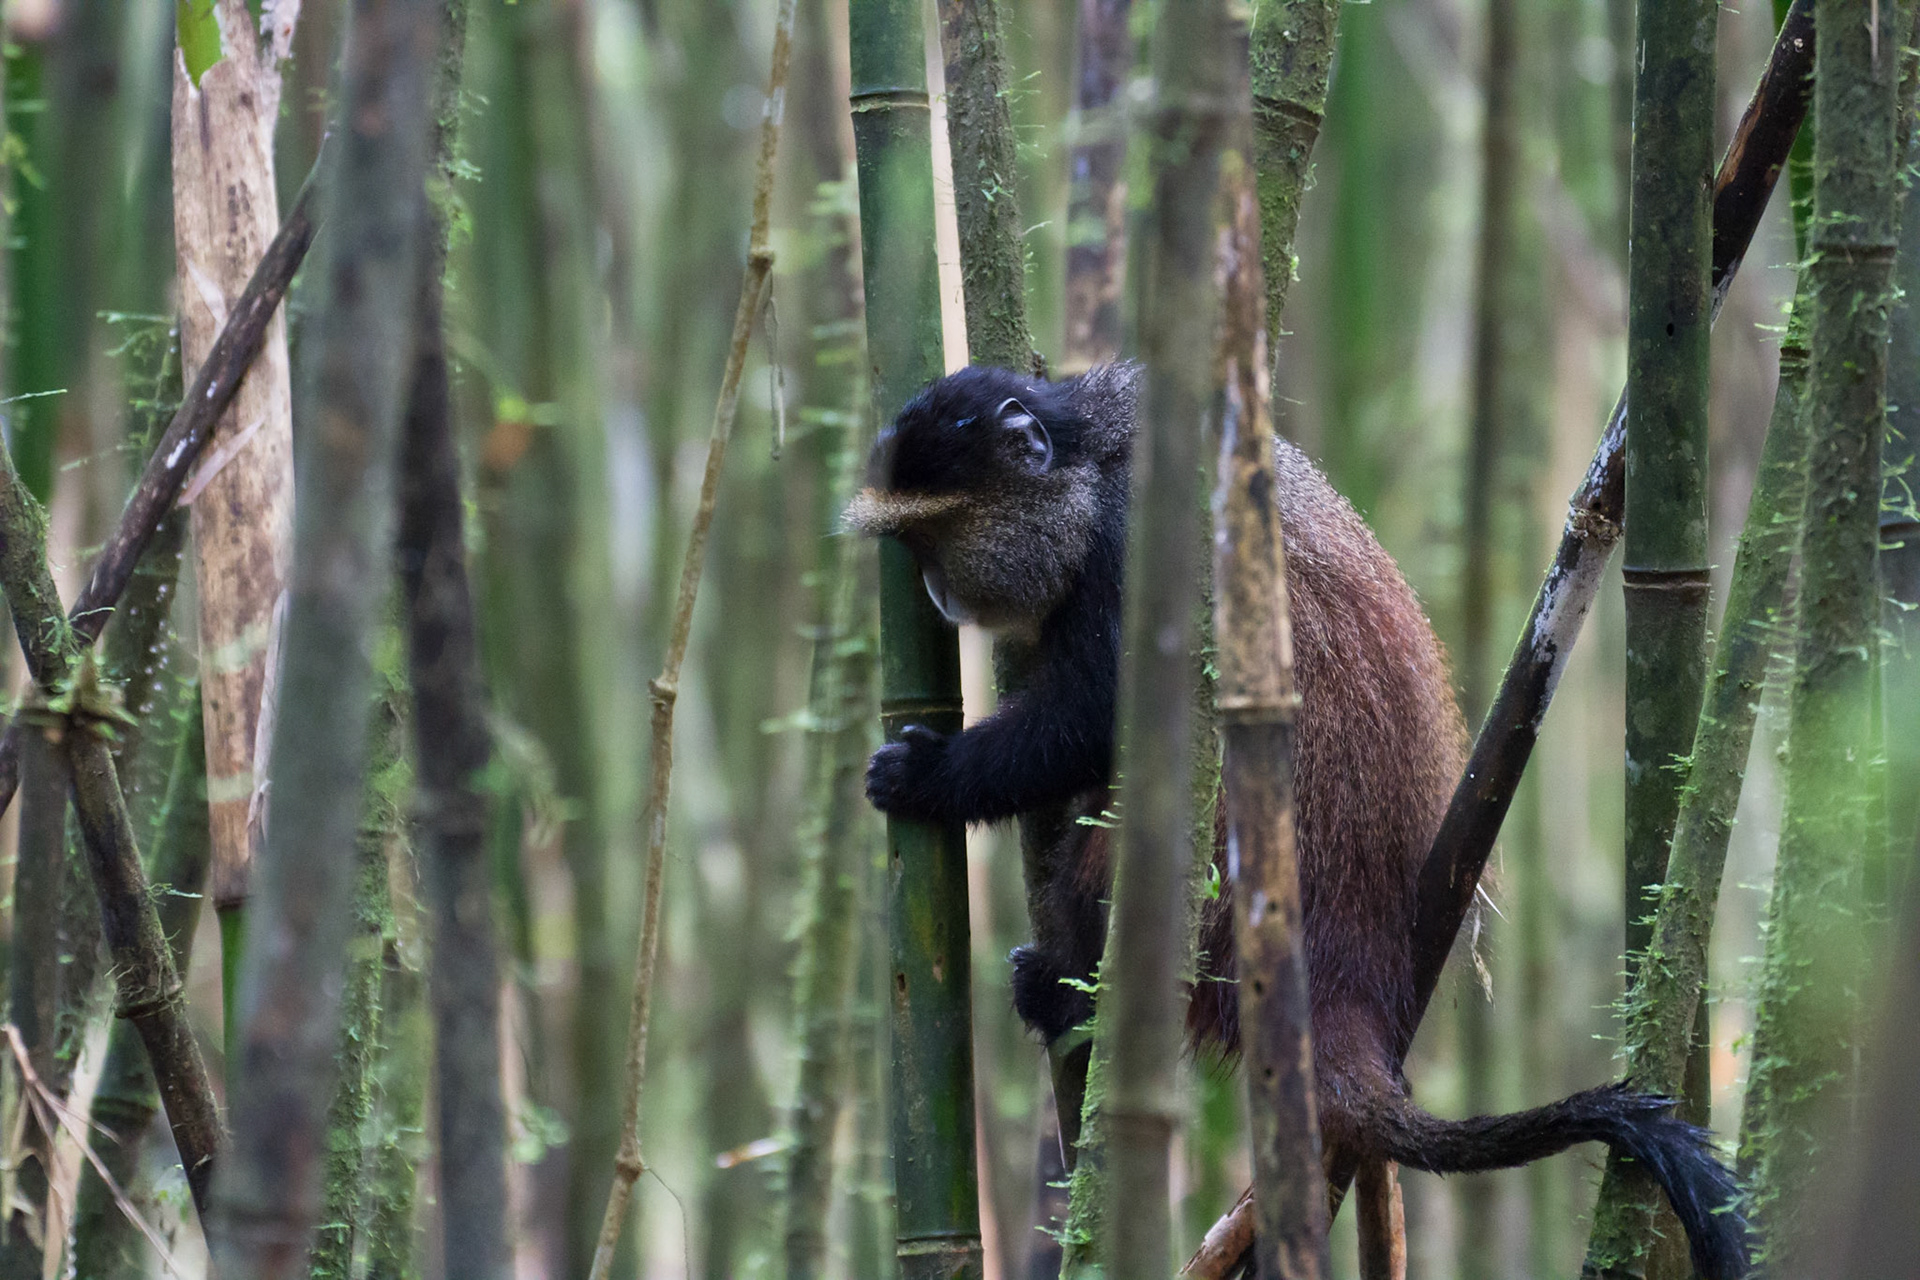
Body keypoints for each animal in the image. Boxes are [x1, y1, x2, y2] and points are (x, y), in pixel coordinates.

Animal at [844, 362, 1750, 1280]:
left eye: (937, 537)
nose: (934, 592)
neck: (1091, 459)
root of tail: (1349, 976)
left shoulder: (1134, 555)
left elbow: (1089, 717)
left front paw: (929, 777)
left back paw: (1067, 992)